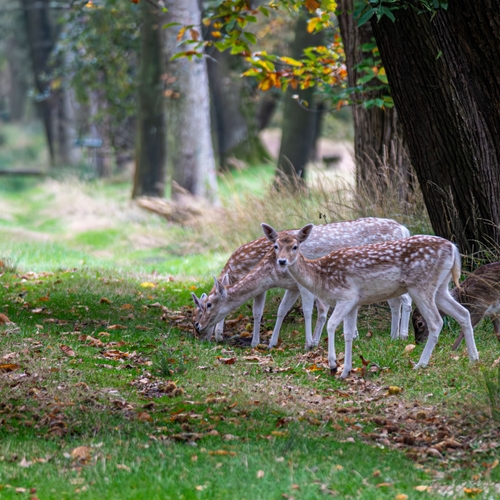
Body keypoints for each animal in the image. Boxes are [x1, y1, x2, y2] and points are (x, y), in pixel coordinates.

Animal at [191, 217, 410, 350]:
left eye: (207, 305)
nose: (198, 328)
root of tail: (404, 229)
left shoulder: (302, 285)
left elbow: (303, 310)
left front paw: (308, 343)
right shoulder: (292, 286)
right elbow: (281, 309)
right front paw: (270, 343)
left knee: (404, 301)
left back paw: (402, 336)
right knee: (397, 301)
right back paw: (394, 335)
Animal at [260, 221, 478, 376]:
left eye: (295, 246)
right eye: (275, 246)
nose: (282, 261)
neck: (320, 277)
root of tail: (453, 248)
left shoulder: (346, 296)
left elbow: (331, 325)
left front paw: (332, 364)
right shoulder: (355, 303)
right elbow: (348, 333)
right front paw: (346, 371)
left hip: (421, 285)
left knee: (436, 322)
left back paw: (420, 364)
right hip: (441, 288)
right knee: (463, 313)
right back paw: (474, 359)